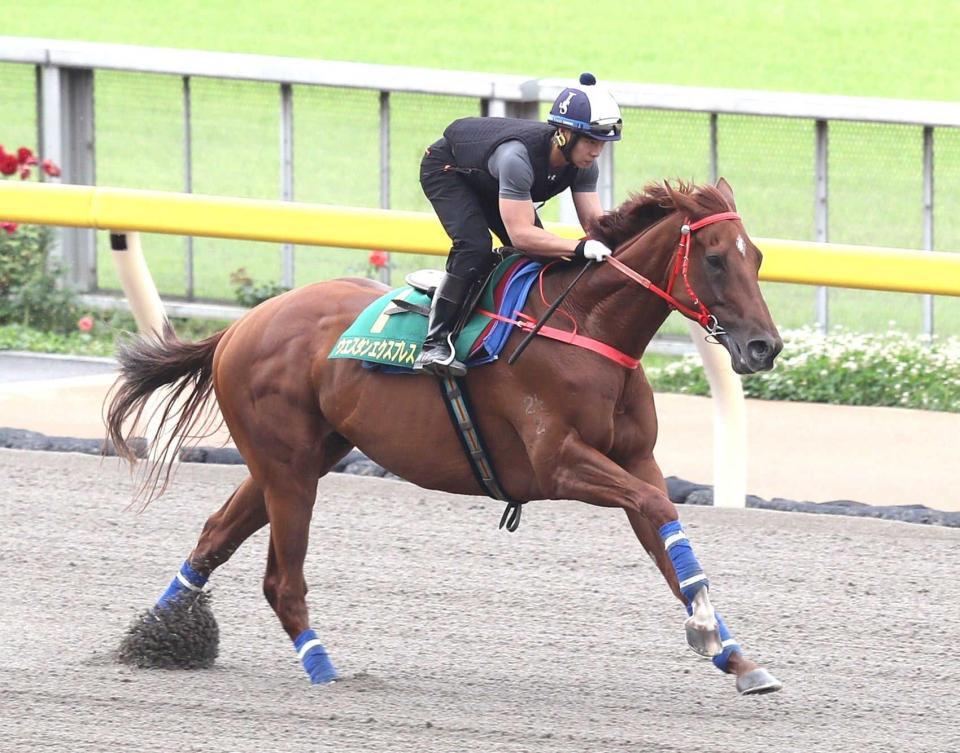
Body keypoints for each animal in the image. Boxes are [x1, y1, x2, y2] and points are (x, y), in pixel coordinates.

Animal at [107, 176, 780, 692]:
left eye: (756, 257)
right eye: (715, 259)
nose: (764, 347)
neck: (585, 325)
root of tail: (242, 326)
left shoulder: (636, 460)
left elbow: (669, 543)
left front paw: (734, 655)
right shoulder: (559, 463)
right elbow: (659, 509)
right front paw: (705, 631)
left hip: (299, 457)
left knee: (216, 535)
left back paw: (149, 637)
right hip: (288, 467)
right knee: (281, 580)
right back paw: (321, 666)